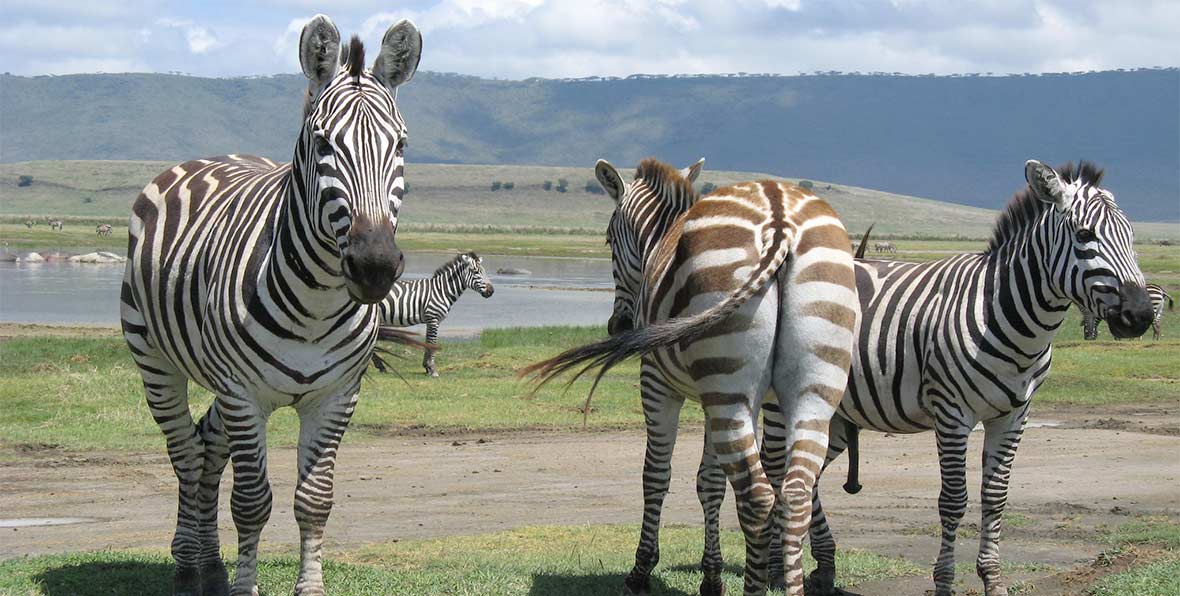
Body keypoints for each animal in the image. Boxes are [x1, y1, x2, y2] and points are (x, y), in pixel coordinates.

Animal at [120, 15, 421, 596]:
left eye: (400, 144)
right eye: (322, 143)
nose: (374, 265)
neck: (316, 304)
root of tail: (212, 157)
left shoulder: (336, 395)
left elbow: (315, 502)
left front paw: (309, 587)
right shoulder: (243, 393)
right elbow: (252, 503)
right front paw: (244, 587)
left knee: (206, 445)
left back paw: (211, 565)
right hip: (154, 359)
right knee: (185, 453)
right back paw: (189, 567)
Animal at [525, 158, 860, 596]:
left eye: (609, 241)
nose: (620, 325)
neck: (660, 238)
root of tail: (779, 217)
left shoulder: (657, 381)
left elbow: (656, 474)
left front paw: (641, 572)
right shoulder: (723, 399)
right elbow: (711, 481)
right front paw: (711, 575)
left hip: (727, 383)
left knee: (756, 496)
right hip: (809, 387)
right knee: (796, 492)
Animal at [697, 160, 1151, 596]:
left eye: (1132, 235)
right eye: (1084, 234)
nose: (1141, 314)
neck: (1004, 313)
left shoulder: (1014, 415)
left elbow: (995, 497)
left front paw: (993, 580)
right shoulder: (951, 412)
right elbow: (953, 501)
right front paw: (945, 582)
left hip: (838, 414)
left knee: (807, 479)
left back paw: (823, 566)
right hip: (784, 400)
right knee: (777, 473)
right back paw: (778, 567)